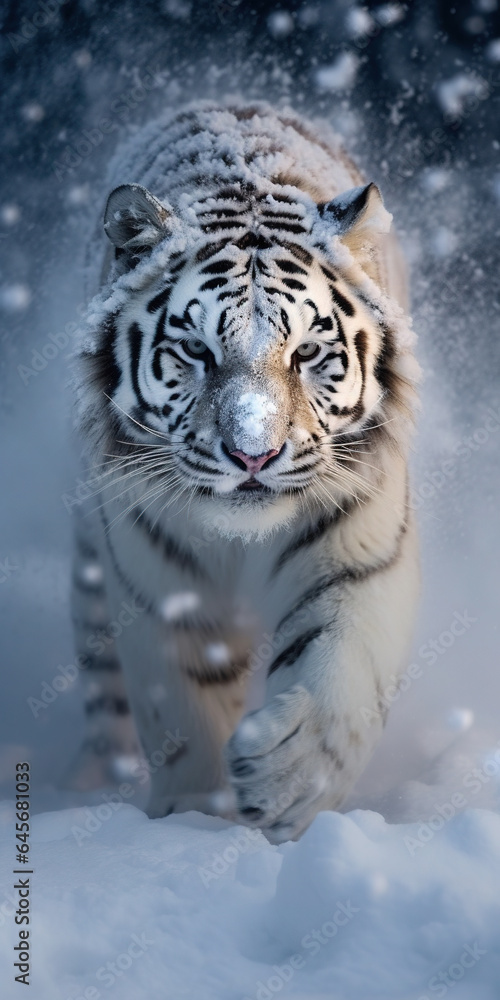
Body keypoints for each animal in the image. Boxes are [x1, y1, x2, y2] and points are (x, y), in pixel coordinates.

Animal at [67, 100, 420, 843]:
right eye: (197, 351)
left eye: (307, 352)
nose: (253, 453)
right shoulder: (156, 581)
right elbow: (184, 709)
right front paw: (195, 824)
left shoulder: (360, 549)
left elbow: (339, 667)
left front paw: (285, 784)